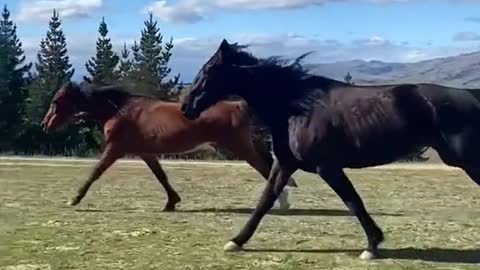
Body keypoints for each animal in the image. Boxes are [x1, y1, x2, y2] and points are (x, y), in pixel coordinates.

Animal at [40, 81, 296, 212]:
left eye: (56, 101)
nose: (45, 124)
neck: (120, 110)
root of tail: (237, 105)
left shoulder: (115, 149)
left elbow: (95, 172)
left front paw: (74, 199)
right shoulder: (145, 152)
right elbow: (161, 176)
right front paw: (172, 202)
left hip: (241, 147)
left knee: (266, 169)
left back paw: (282, 202)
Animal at [181, 39, 480, 260]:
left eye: (208, 70)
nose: (186, 106)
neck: (296, 108)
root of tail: (472, 95)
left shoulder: (328, 167)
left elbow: (353, 201)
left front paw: (372, 247)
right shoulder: (285, 164)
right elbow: (265, 200)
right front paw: (236, 242)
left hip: (467, 160)